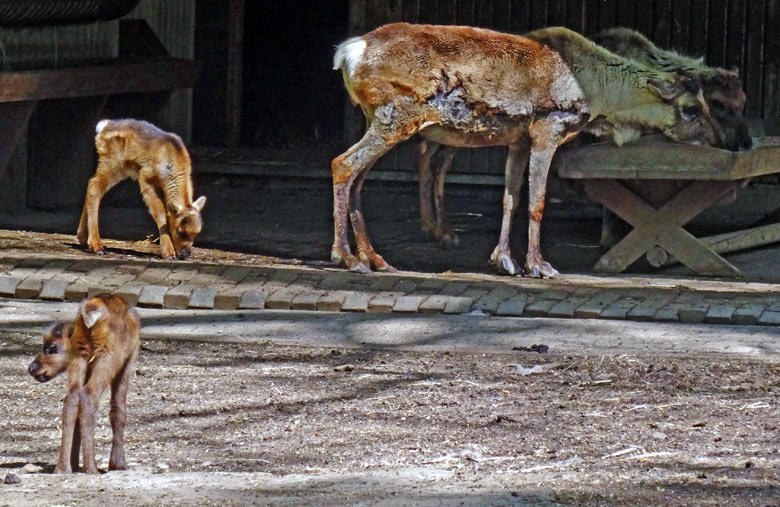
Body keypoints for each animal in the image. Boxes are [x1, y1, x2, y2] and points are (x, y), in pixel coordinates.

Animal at [28, 296, 141, 474]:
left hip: (79, 355)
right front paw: (118, 464)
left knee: (72, 398)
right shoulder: (128, 359)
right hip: (109, 355)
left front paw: (74, 463)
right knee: (89, 396)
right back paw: (91, 467)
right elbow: (118, 409)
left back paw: (63, 467)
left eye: (51, 347)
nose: (32, 368)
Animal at [76, 119, 207, 260]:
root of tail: (103, 126)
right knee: (95, 186)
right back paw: (97, 247)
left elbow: (166, 213)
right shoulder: (146, 177)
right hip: (111, 161)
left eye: (197, 232)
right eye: (179, 231)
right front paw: (168, 253)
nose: (185, 254)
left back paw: (83, 239)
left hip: (120, 169)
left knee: (91, 183)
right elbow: (160, 213)